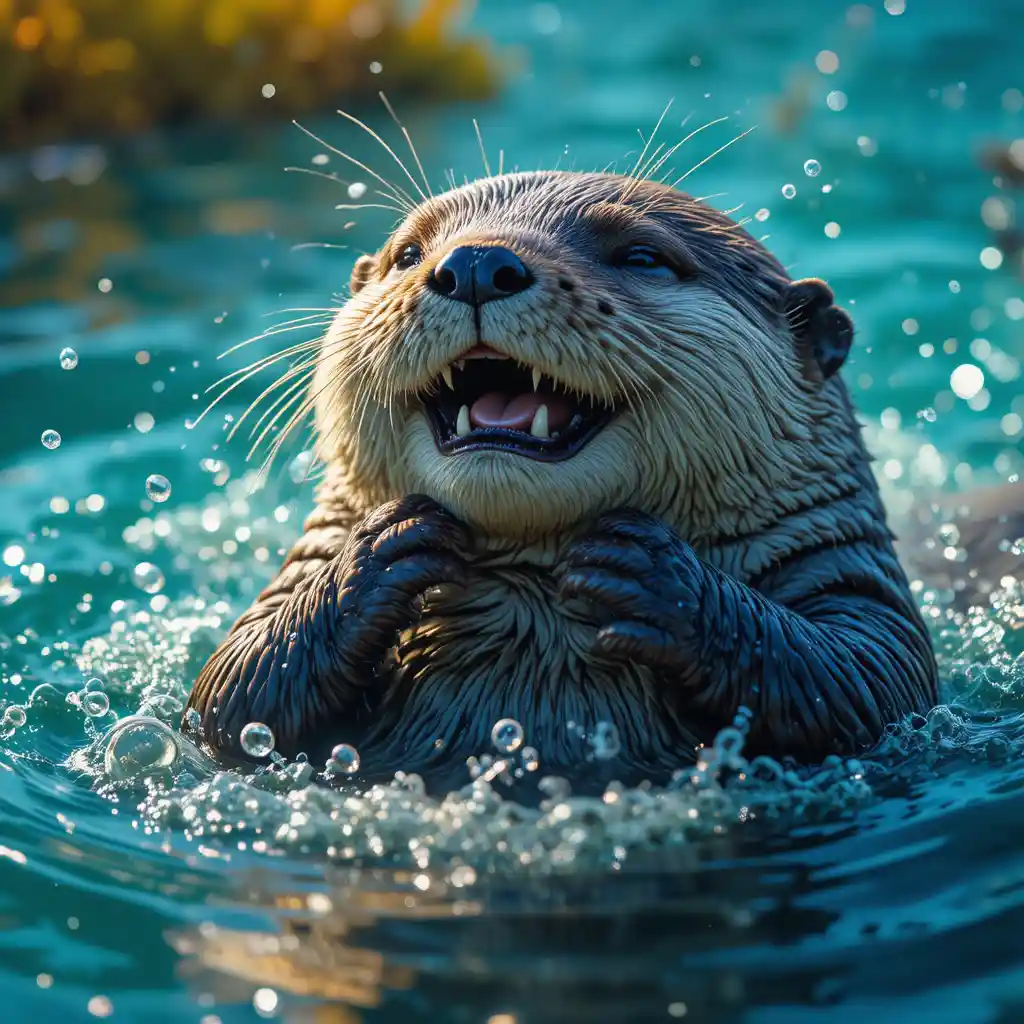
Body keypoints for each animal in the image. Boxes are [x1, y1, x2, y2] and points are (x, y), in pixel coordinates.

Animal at [182, 170, 939, 782]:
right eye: (409, 253)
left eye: (643, 257)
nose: (476, 262)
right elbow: (234, 688)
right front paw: (383, 550)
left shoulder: (853, 595)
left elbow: (859, 673)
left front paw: (649, 573)